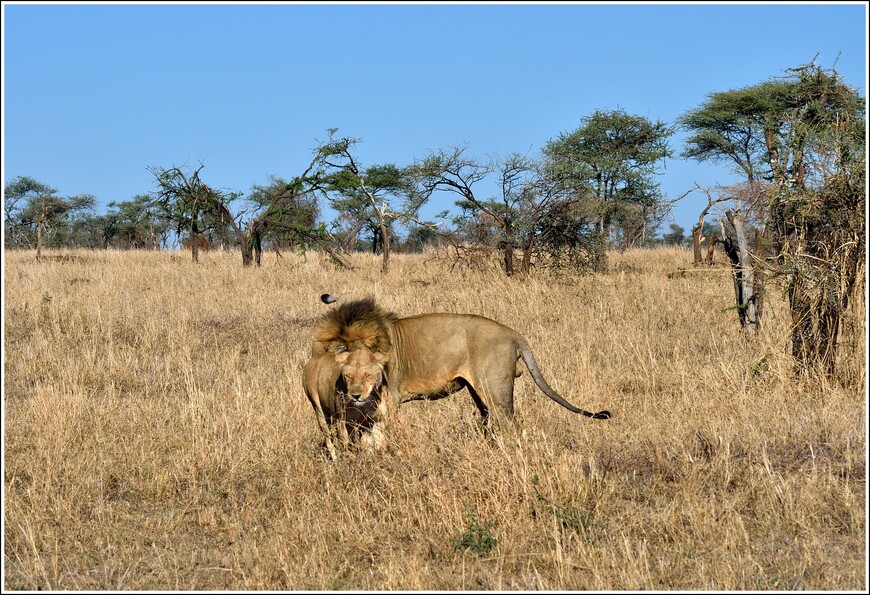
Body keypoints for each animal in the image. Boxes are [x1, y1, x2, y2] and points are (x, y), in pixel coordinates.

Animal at [314, 296, 612, 444]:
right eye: (346, 373)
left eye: (368, 372)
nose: (355, 394)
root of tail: (513, 333)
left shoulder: (392, 397)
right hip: (477, 392)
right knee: (491, 422)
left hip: (495, 390)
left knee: (511, 424)